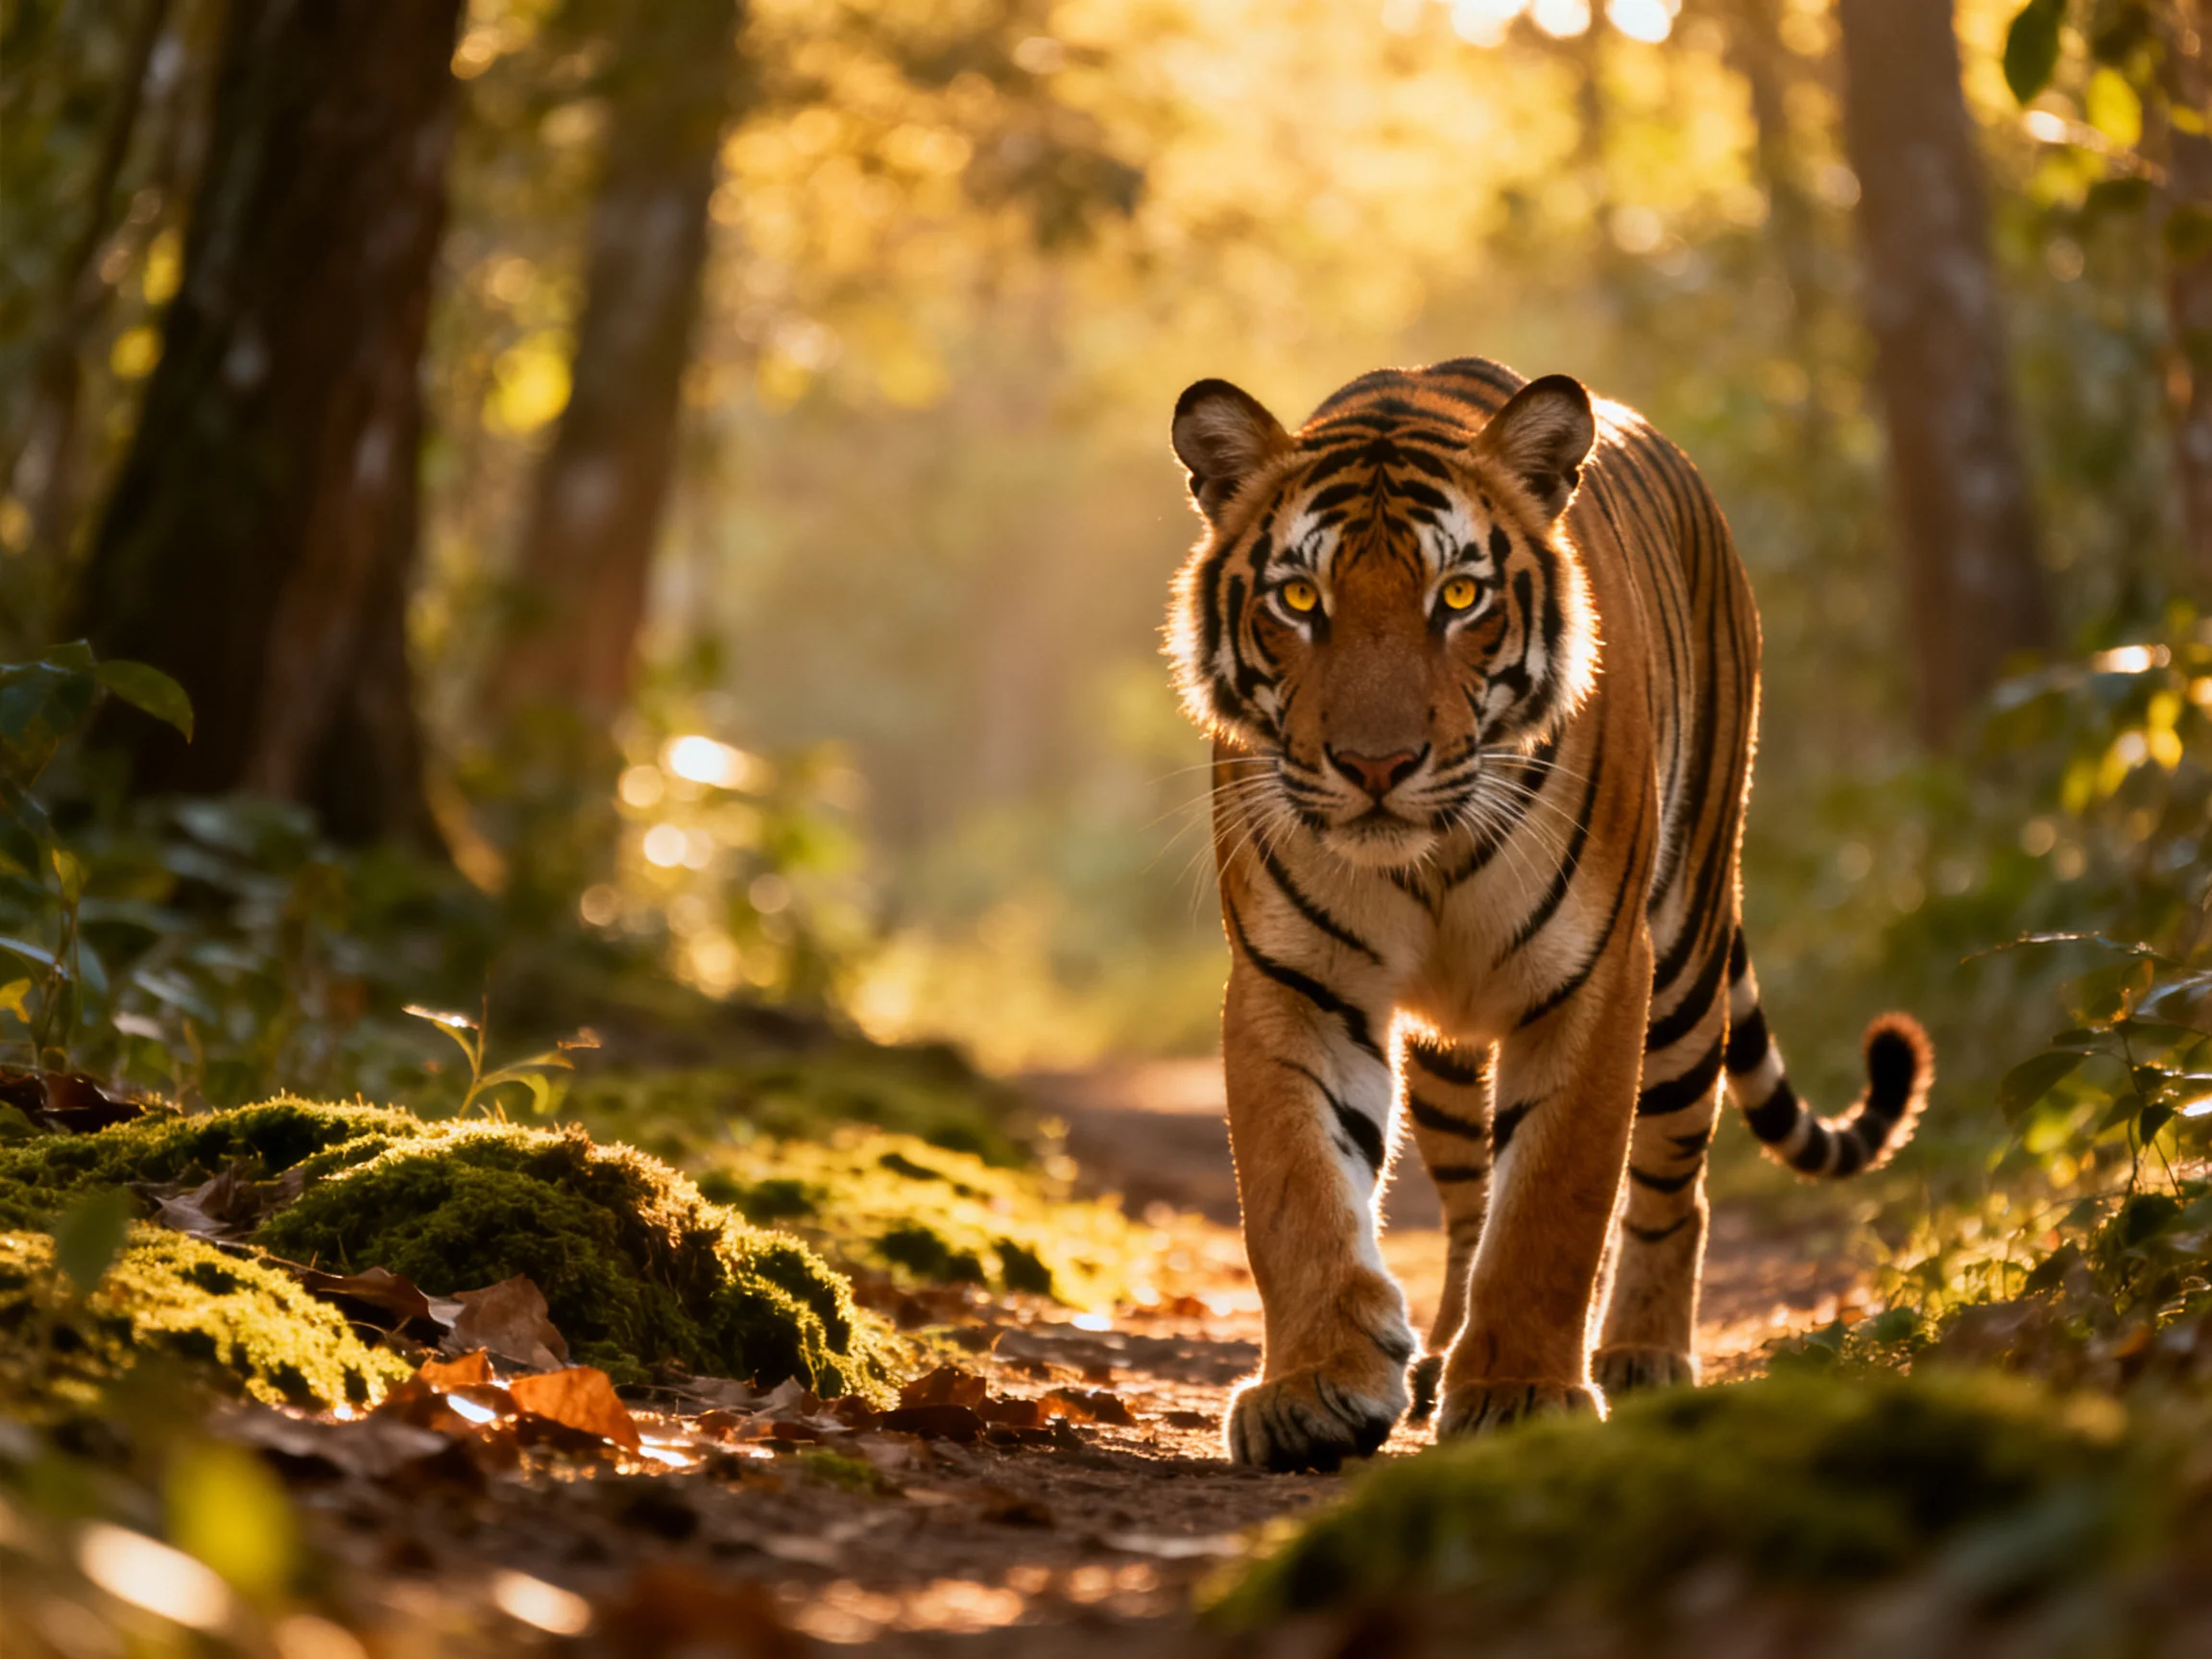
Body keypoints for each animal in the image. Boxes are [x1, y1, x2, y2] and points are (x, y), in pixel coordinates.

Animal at [1164, 356, 1931, 1473]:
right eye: (1300, 597)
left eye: (1460, 596)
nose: (1376, 767)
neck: (1427, 861)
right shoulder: (1293, 975)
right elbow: (1295, 1189)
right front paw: (1315, 1387)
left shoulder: (1596, 973)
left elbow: (1556, 1203)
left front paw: (1521, 1392)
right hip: (1447, 1053)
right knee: (1465, 1196)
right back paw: (1440, 1350)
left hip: (1689, 961)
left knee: (1673, 1182)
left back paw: (1643, 1358)